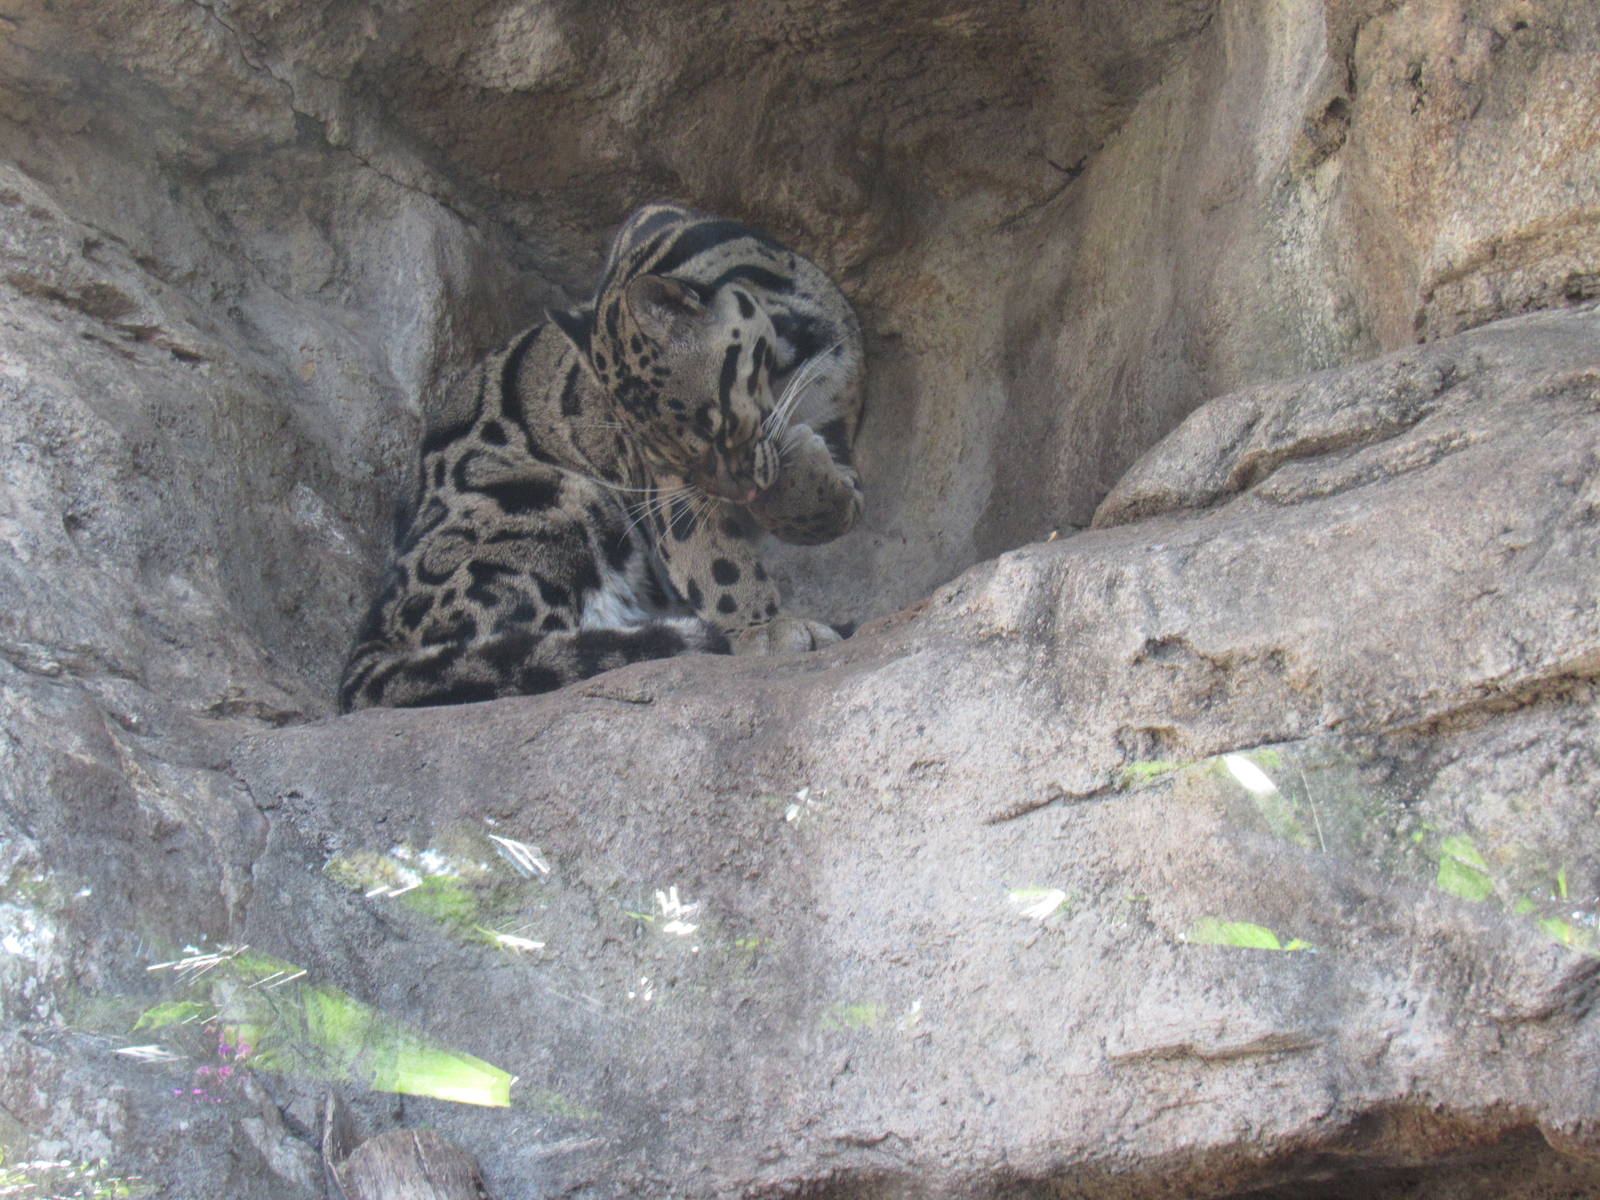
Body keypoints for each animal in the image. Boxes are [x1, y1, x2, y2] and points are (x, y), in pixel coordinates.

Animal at [338, 202, 865, 710]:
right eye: (662, 454)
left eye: (717, 425)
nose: (744, 492)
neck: (786, 361)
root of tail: (371, 635)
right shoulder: (667, 490)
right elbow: (715, 559)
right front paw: (763, 629)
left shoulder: (836, 417)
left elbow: (826, 508)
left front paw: (803, 482)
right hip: (553, 497)